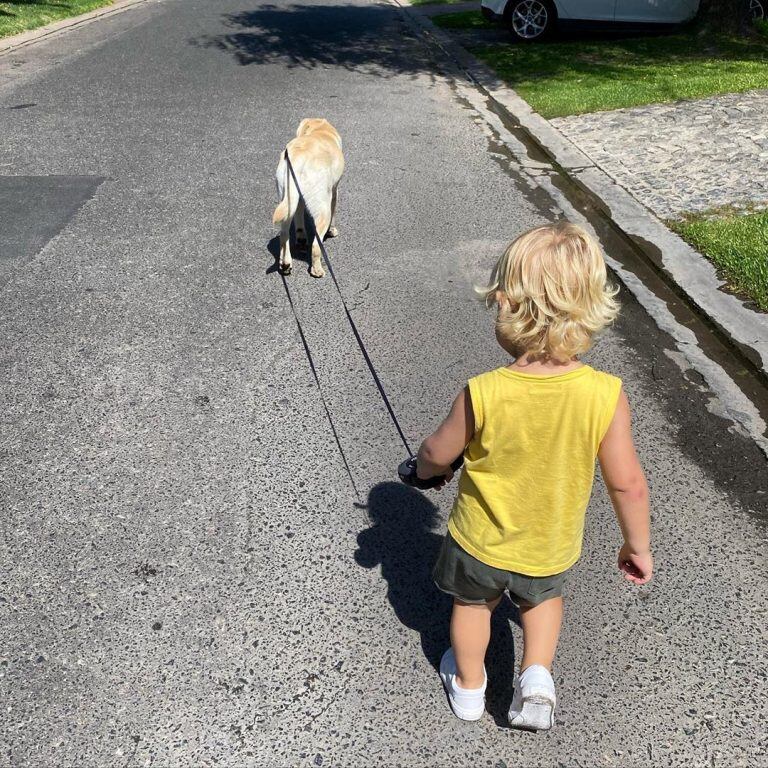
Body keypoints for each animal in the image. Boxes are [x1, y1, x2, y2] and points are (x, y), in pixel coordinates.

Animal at [270, 118, 342, 278]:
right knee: (316, 245)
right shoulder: (334, 191)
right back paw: (317, 270)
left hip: (287, 201)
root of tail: (297, 158)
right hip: (323, 209)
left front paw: (301, 237)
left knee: (284, 235)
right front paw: (332, 231)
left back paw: (285, 264)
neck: (319, 130)